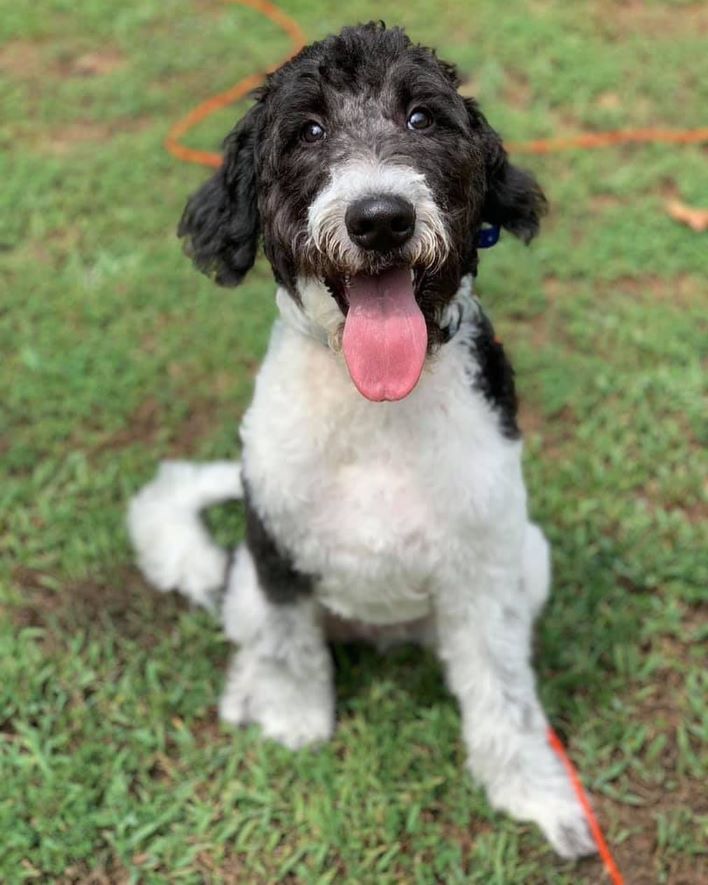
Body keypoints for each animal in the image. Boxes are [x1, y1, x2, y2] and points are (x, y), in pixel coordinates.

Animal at [129, 24, 596, 860]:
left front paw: (535, 793)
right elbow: (288, 649)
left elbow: (506, 696)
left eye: (422, 118)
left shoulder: (486, 574)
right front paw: (292, 721)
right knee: (254, 638)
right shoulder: (277, 552)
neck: (375, 405)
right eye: (308, 131)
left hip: (529, 558)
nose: (381, 218)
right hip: (247, 577)